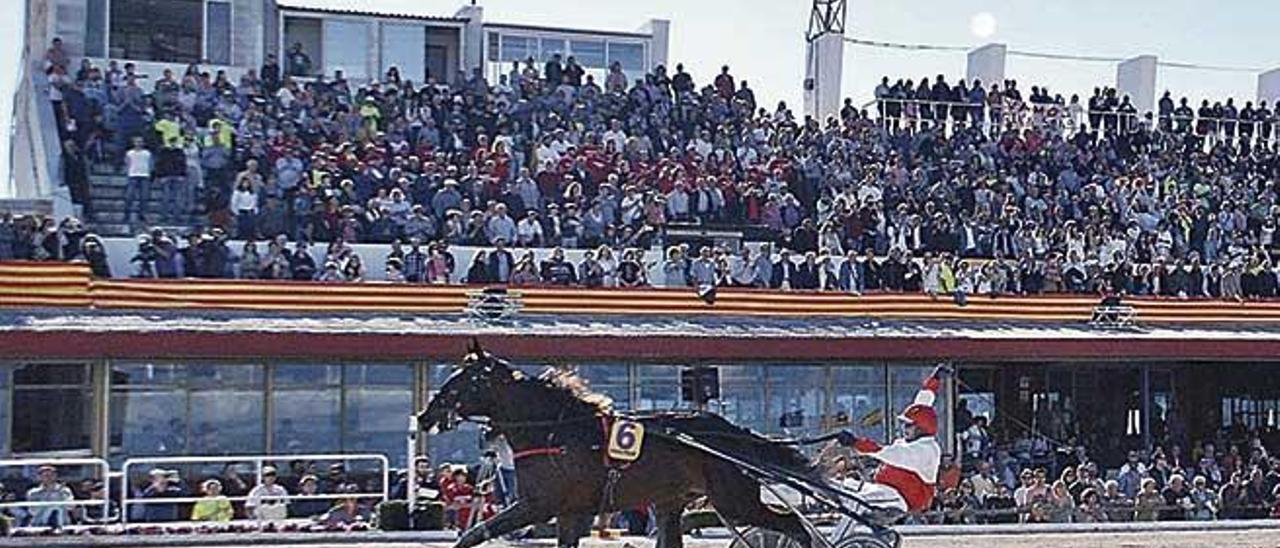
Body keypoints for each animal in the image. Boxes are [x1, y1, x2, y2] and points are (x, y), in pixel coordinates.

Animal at [419, 343, 819, 548]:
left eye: (462, 381)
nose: (424, 415)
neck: (554, 432)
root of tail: (732, 432)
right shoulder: (570, 512)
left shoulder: (538, 505)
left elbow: (474, 533)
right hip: (671, 502)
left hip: (733, 501)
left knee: (794, 526)